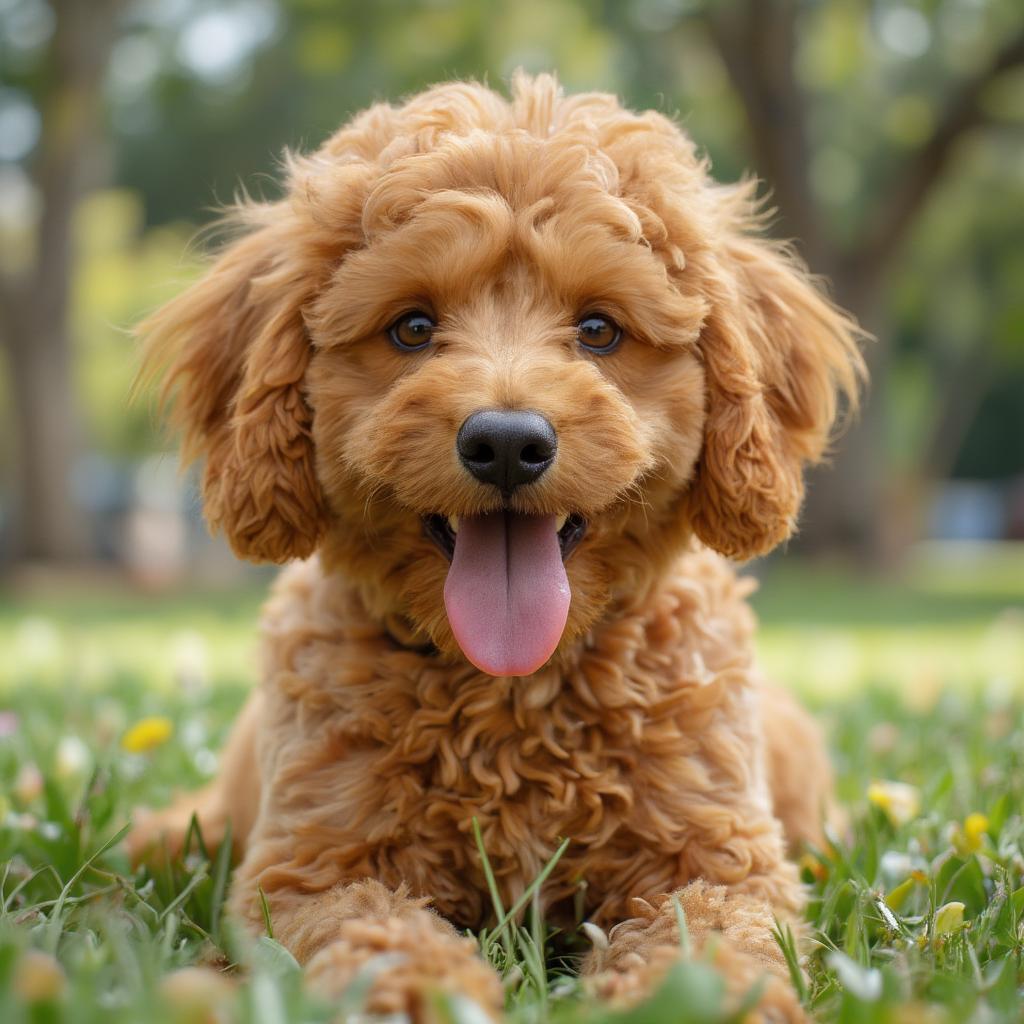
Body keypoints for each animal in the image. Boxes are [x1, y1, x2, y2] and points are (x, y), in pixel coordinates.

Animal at [128, 74, 864, 1024]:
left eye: (599, 330)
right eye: (411, 328)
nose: (508, 443)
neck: (513, 687)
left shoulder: (719, 861)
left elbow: (709, 939)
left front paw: (685, 998)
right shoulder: (310, 870)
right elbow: (372, 930)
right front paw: (425, 993)